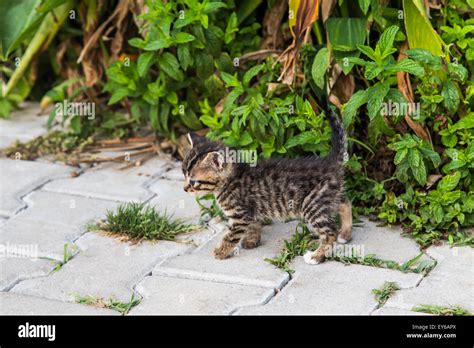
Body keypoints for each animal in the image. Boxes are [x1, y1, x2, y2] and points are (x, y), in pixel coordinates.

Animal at [181, 108, 352, 264]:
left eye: (193, 181)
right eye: (184, 174)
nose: (184, 189)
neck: (230, 180)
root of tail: (330, 162)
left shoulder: (239, 216)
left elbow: (231, 236)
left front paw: (221, 251)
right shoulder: (250, 211)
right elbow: (254, 225)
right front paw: (251, 240)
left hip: (312, 203)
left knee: (330, 231)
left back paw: (317, 255)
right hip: (327, 197)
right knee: (345, 202)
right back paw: (345, 234)